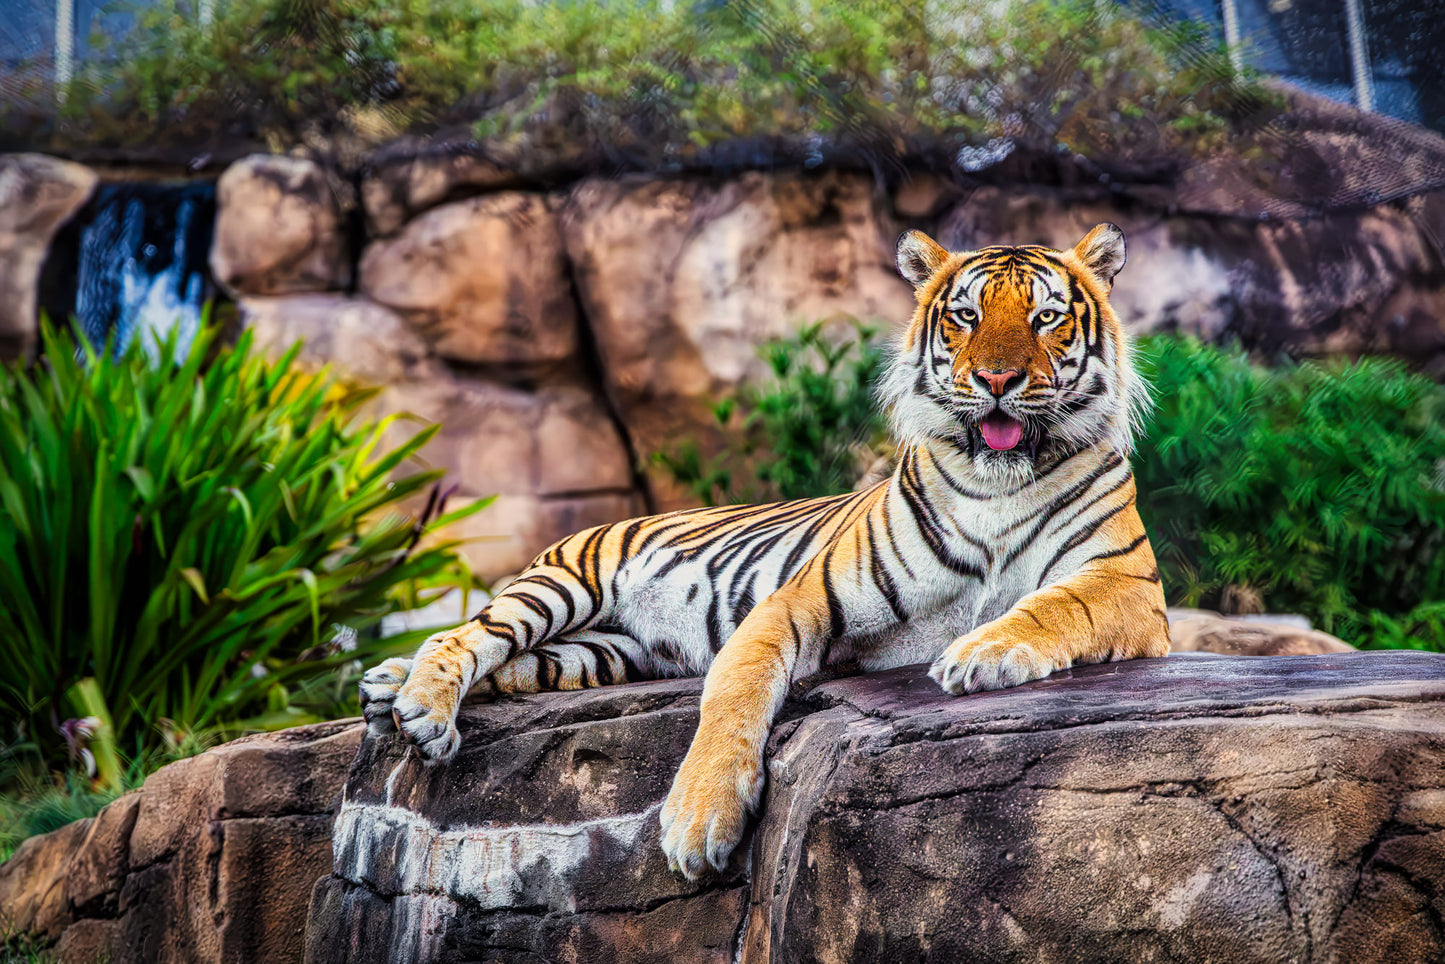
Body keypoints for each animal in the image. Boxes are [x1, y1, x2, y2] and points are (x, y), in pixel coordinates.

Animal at [359, 222, 1171, 880]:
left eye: (1045, 317)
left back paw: (389, 689)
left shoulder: (1126, 585)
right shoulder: (802, 598)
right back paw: (418, 706)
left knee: (509, 663)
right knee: (468, 634)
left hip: (602, 653)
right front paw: (697, 823)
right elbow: (734, 689)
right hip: (564, 584)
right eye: (965, 316)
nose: (996, 380)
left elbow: (1051, 608)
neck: (995, 485)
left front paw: (981, 653)